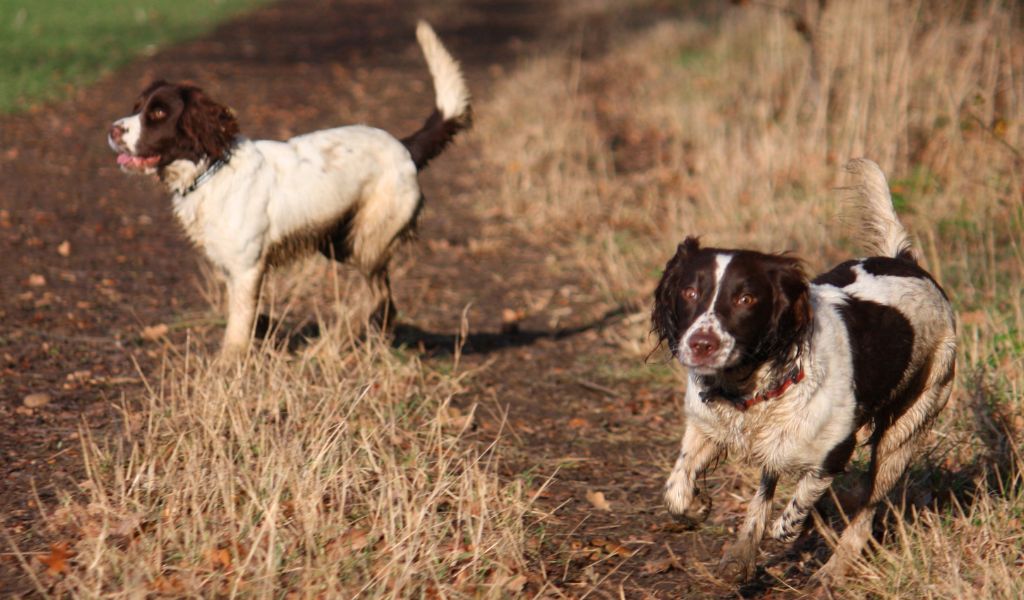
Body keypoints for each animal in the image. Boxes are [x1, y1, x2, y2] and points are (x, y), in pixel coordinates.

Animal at [105, 20, 468, 354]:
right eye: (137, 107)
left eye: (159, 112)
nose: (112, 130)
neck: (211, 170)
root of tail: (405, 147)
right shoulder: (230, 268)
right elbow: (244, 319)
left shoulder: (247, 268)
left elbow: (237, 330)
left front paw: (227, 369)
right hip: (339, 242)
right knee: (384, 301)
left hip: (366, 240)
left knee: (378, 296)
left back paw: (328, 347)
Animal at [651, 158, 954, 585]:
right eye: (690, 292)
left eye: (746, 299)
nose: (701, 344)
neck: (749, 386)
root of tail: (905, 261)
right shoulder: (706, 425)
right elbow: (677, 490)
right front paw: (698, 508)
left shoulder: (833, 450)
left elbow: (797, 511)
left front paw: (803, 525)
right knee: (765, 492)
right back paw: (741, 556)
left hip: (907, 427)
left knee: (866, 509)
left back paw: (833, 570)